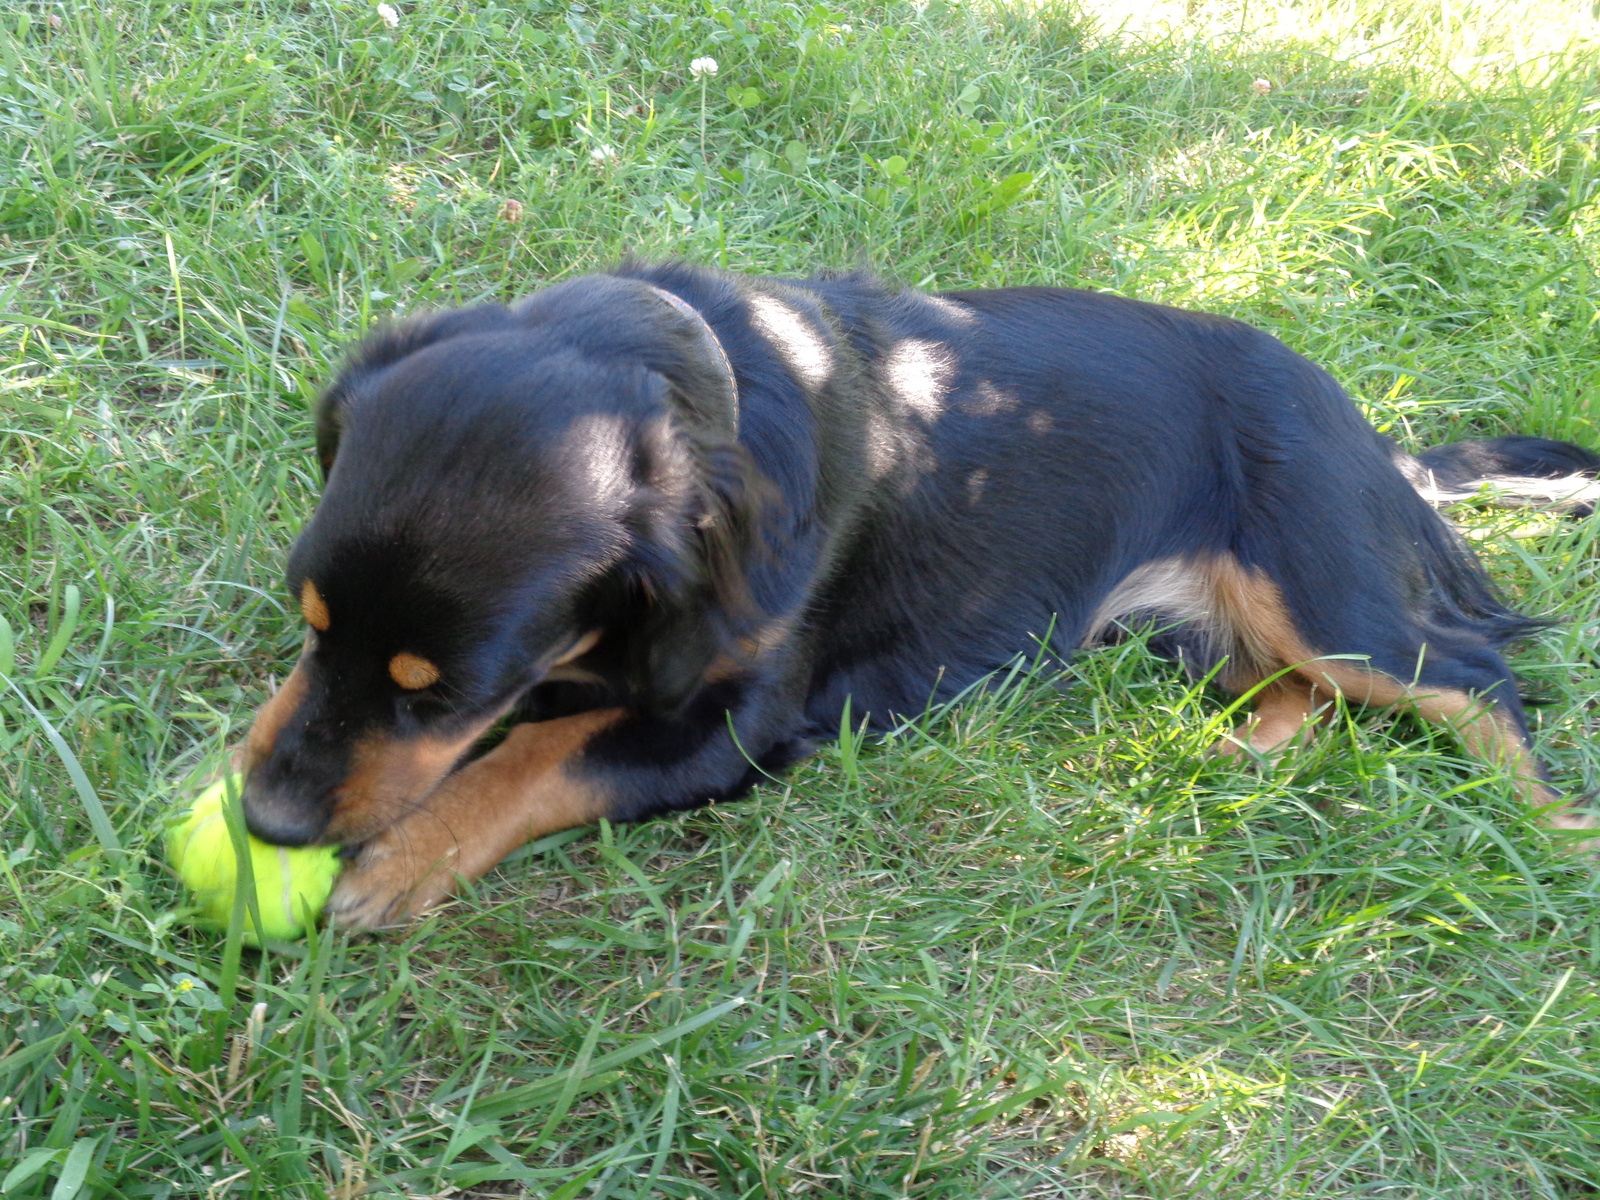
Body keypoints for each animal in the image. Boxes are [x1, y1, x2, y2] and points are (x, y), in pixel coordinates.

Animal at [240, 262, 1600, 928]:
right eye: (309, 625)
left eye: (445, 692)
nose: (263, 824)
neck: (708, 371)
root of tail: (1372, 435)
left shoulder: (731, 722)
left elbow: (535, 758)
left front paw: (397, 861)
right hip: (1207, 626)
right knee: (1298, 694)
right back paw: (1230, 756)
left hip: (1320, 586)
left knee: (1470, 677)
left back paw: (1555, 827)